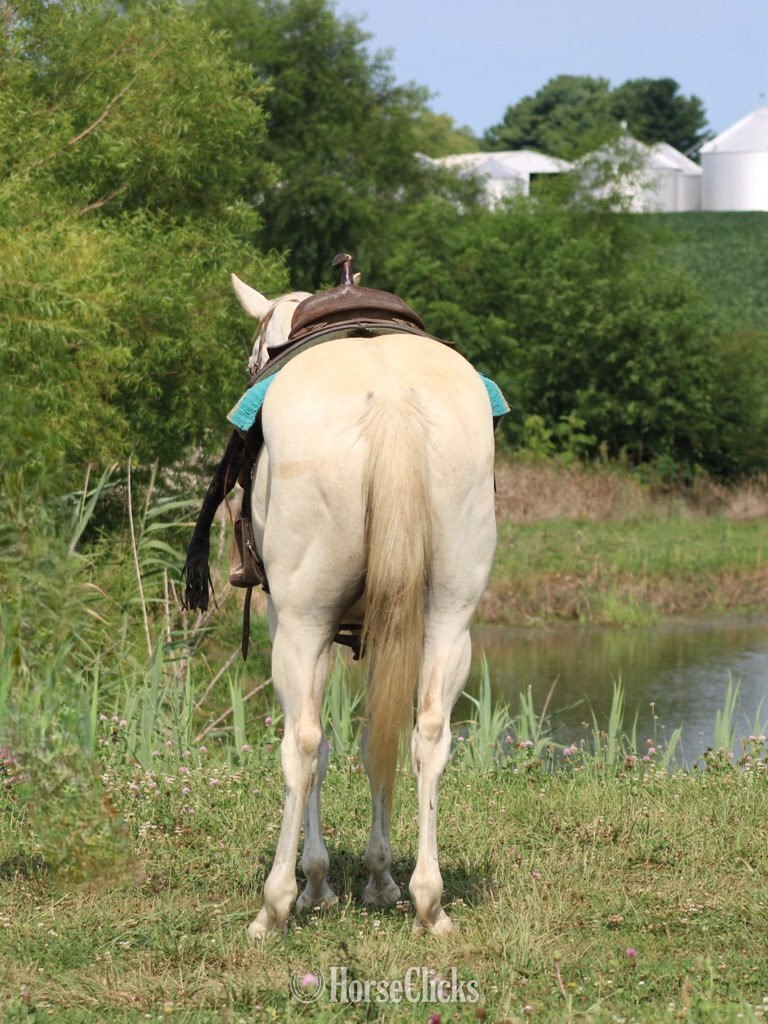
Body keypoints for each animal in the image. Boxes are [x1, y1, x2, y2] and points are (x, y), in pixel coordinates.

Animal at [229, 272, 497, 940]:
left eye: (254, 357)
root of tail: (393, 398)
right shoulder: (387, 629)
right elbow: (380, 739)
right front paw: (380, 878)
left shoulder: (304, 628)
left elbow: (322, 748)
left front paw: (317, 883)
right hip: (449, 618)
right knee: (428, 736)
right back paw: (430, 900)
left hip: (302, 623)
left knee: (301, 743)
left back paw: (274, 904)